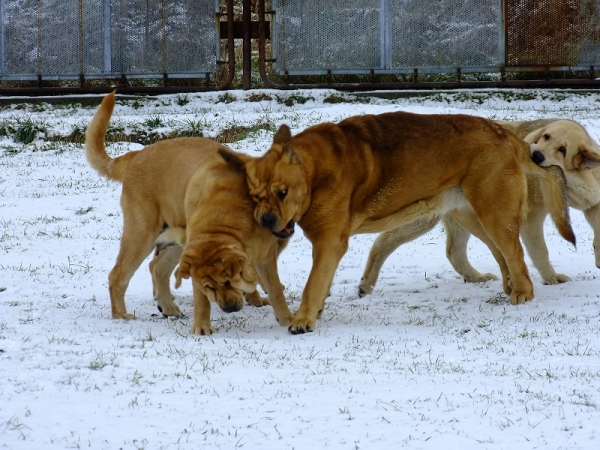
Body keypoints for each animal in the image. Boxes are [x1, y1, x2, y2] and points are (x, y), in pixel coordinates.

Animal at [84, 91, 292, 334]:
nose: (229, 308)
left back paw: (167, 307)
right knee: (118, 274)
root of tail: (136, 155)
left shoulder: (266, 257)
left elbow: (275, 289)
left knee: (157, 267)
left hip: (171, 236)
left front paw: (287, 319)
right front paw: (202, 327)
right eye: (210, 285)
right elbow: (202, 300)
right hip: (142, 234)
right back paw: (121, 315)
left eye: (229, 281)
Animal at [358, 118, 596, 296]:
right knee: (384, 241)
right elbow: (540, 251)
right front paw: (551, 278)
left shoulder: (593, 206)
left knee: (454, 251)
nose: (535, 154)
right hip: (424, 217)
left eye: (562, 149)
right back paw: (366, 284)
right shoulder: (532, 219)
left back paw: (476, 277)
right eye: (545, 137)